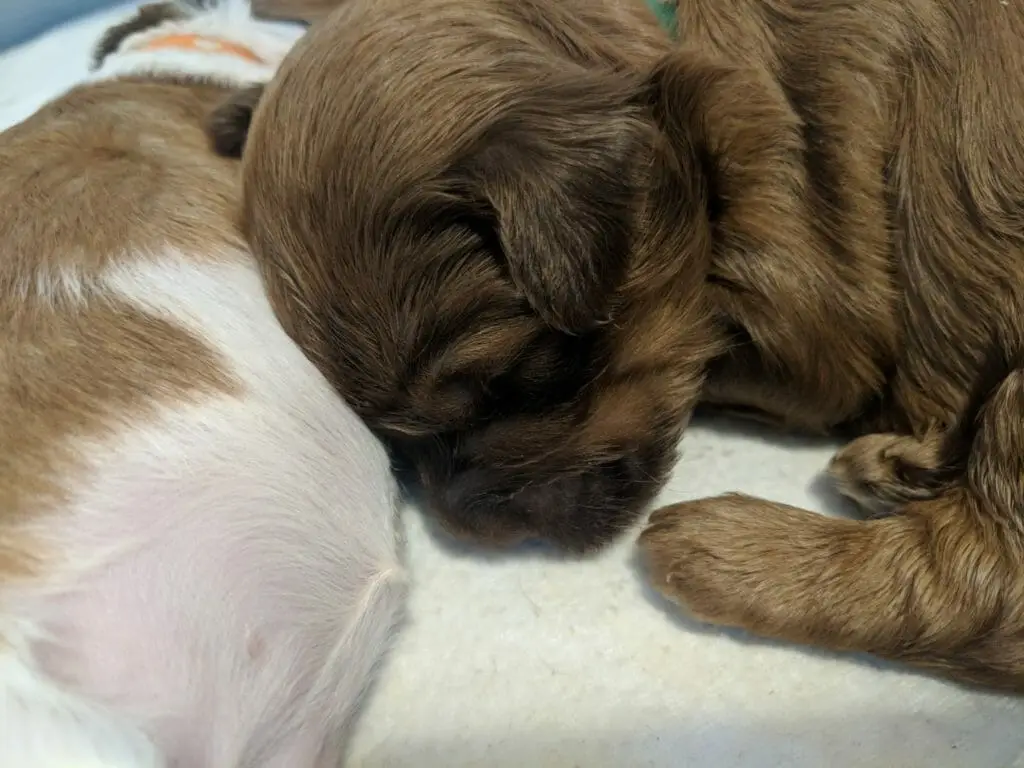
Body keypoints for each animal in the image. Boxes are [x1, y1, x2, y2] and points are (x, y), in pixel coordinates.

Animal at [214, 0, 1024, 692]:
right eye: (390, 436)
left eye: (513, 379)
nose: (465, 524)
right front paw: (237, 102)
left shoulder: (810, 316)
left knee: (980, 593)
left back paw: (725, 549)